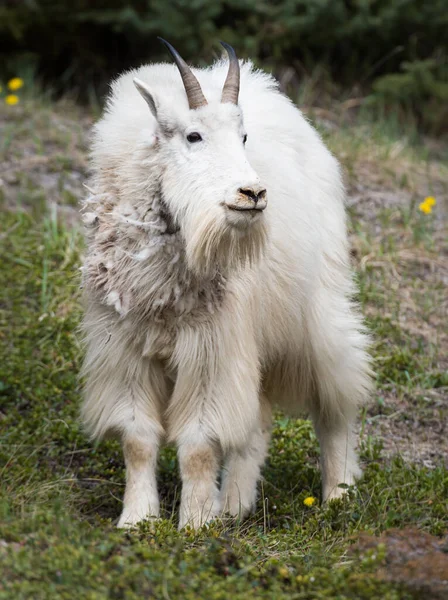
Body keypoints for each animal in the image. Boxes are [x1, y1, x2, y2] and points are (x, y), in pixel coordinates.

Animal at [79, 39, 372, 528]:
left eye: (244, 138)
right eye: (193, 136)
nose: (252, 194)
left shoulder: (213, 349)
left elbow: (198, 443)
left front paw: (195, 524)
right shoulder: (126, 348)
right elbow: (138, 438)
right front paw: (139, 520)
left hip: (316, 312)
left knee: (337, 398)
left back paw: (339, 494)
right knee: (258, 422)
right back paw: (236, 506)